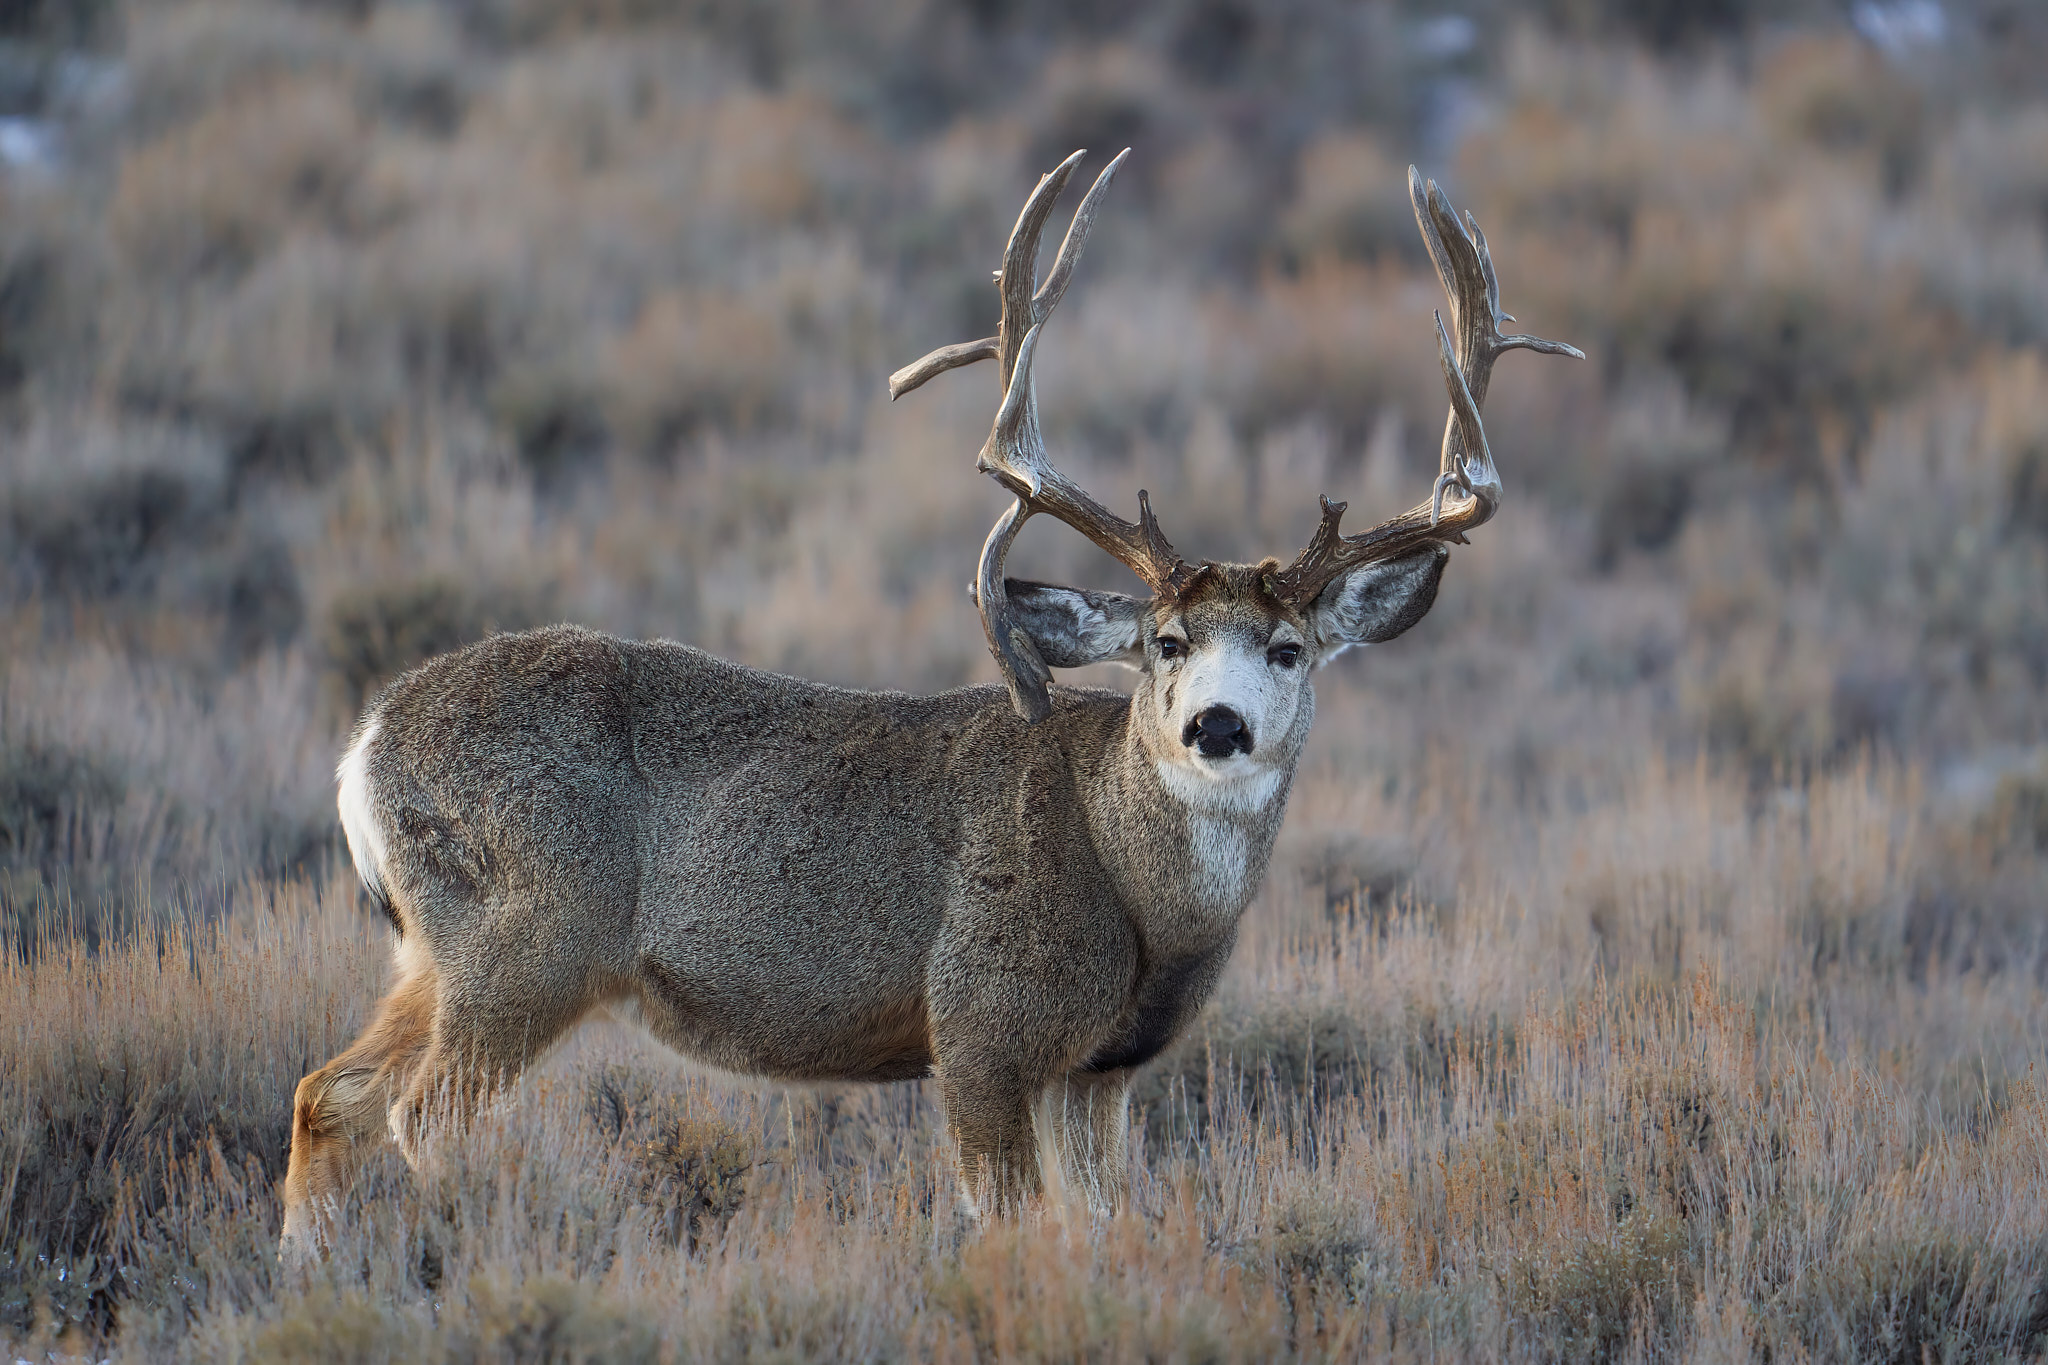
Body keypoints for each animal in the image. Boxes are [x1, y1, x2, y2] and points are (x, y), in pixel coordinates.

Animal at [279, 150, 1579, 1258]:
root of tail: (364, 741)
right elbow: (1006, 1224)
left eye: (1290, 649)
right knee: (423, 1120)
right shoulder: (980, 1029)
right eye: (1162, 644)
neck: (1133, 894)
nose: (1216, 726)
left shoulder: (1102, 1069)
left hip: (437, 950)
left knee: (326, 1095)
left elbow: (1096, 1226)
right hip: (527, 938)